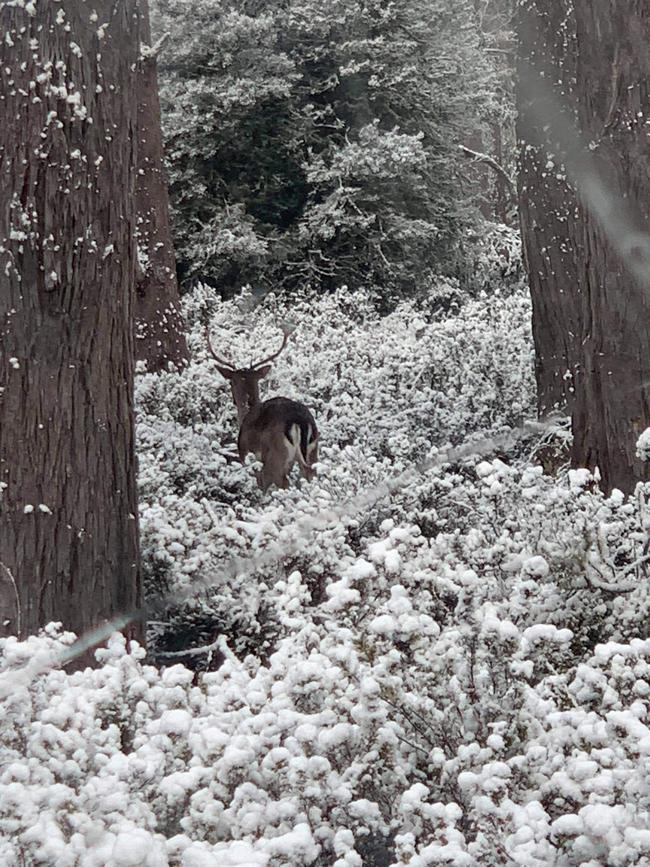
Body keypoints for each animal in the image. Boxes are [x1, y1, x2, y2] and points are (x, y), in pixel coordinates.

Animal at [205, 326, 318, 492]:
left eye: (231, 382)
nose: (233, 400)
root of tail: (298, 420)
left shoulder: (247, 456)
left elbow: (261, 486)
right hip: (312, 451)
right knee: (311, 474)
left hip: (275, 456)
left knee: (283, 482)